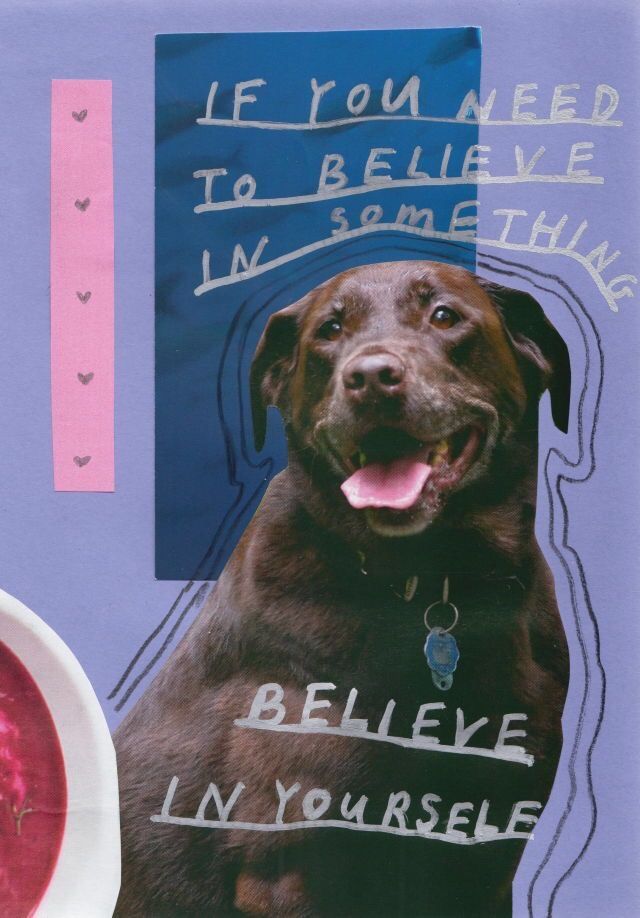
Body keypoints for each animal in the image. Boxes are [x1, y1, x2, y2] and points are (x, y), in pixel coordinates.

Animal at [115, 260, 568, 918]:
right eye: (329, 330)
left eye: (445, 315)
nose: (371, 377)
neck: (432, 585)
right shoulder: (290, 863)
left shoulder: (487, 853)